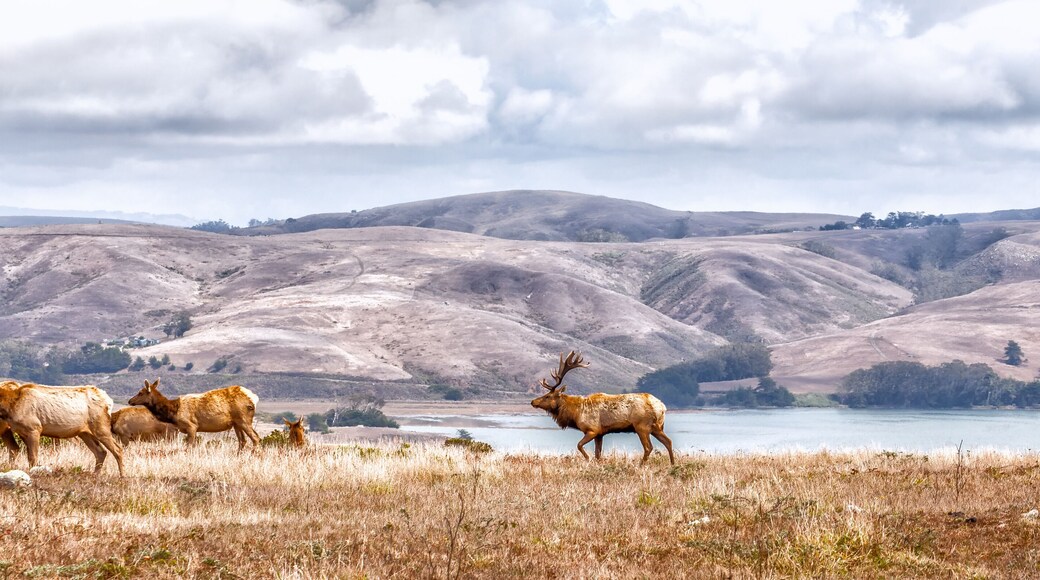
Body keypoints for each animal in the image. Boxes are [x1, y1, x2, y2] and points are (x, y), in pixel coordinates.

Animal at [128, 379, 261, 450]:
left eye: (140, 392)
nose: (130, 401)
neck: (174, 412)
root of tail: (254, 398)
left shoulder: (191, 426)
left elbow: (189, 446)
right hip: (236, 423)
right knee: (242, 441)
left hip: (243, 419)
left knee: (256, 438)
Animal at [531, 351, 675, 465]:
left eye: (548, 396)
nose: (532, 402)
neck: (576, 414)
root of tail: (661, 407)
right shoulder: (600, 434)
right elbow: (598, 454)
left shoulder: (592, 429)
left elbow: (579, 445)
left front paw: (587, 460)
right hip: (657, 426)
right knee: (668, 441)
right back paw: (672, 464)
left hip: (642, 426)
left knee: (648, 447)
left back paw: (641, 465)